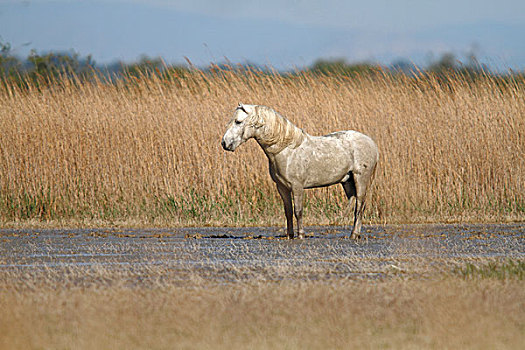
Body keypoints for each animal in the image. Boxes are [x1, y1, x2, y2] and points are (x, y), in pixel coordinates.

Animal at [221, 104, 376, 239]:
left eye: (238, 121)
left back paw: (354, 234)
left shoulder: (297, 187)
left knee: (360, 207)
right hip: (348, 182)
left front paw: (300, 235)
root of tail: (371, 143)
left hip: (361, 180)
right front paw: (290, 235)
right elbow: (288, 212)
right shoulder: (282, 187)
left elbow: (298, 211)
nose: (225, 143)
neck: (286, 149)